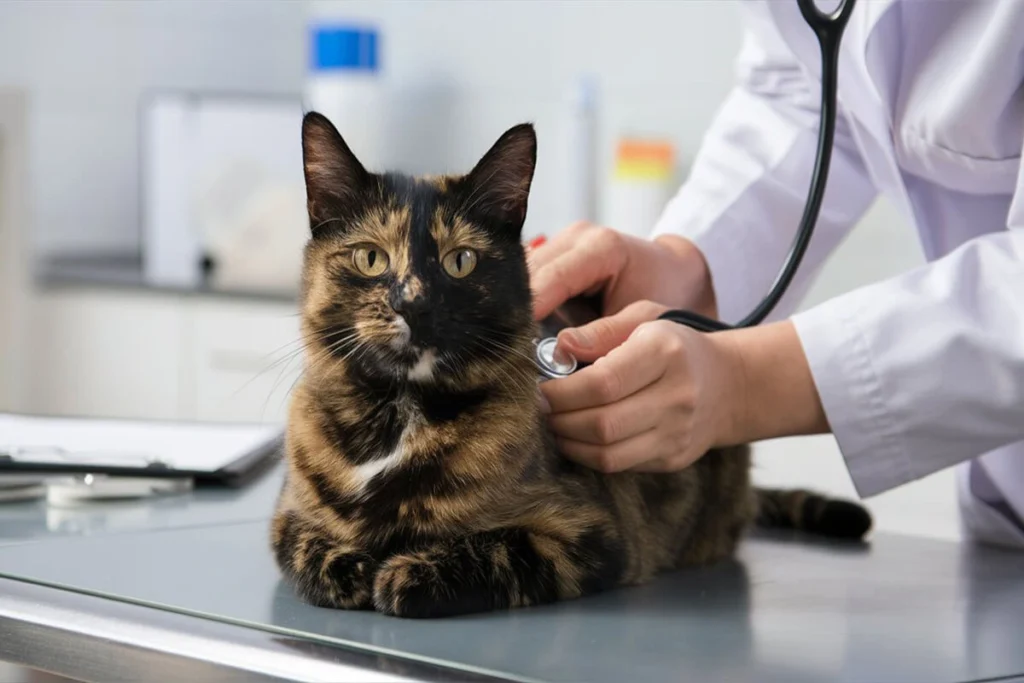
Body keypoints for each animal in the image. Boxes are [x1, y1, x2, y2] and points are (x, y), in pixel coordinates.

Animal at [268, 112, 868, 618]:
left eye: (460, 261)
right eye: (371, 257)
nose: (412, 304)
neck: (400, 415)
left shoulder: (588, 537)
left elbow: (490, 550)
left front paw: (404, 574)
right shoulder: (287, 515)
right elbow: (304, 549)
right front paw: (351, 565)